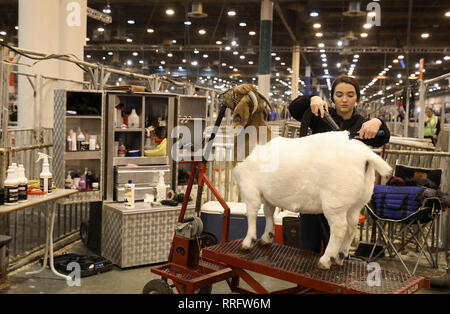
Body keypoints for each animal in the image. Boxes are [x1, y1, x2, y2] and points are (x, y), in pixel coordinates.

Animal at [230, 131, 392, 268]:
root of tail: (365, 154)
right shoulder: (269, 195)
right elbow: (269, 212)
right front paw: (267, 237)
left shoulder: (250, 189)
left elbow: (251, 214)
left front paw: (247, 242)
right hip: (357, 202)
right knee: (352, 226)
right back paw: (339, 256)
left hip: (335, 202)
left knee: (339, 228)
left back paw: (326, 260)